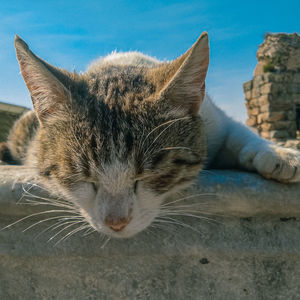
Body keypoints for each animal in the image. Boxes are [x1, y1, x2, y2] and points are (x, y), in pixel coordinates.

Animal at [0, 32, 300, 238]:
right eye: (82, 178)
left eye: (148, 176)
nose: (116, 223)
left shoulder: (214, 119)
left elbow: (238, 133)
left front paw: (279, 154)